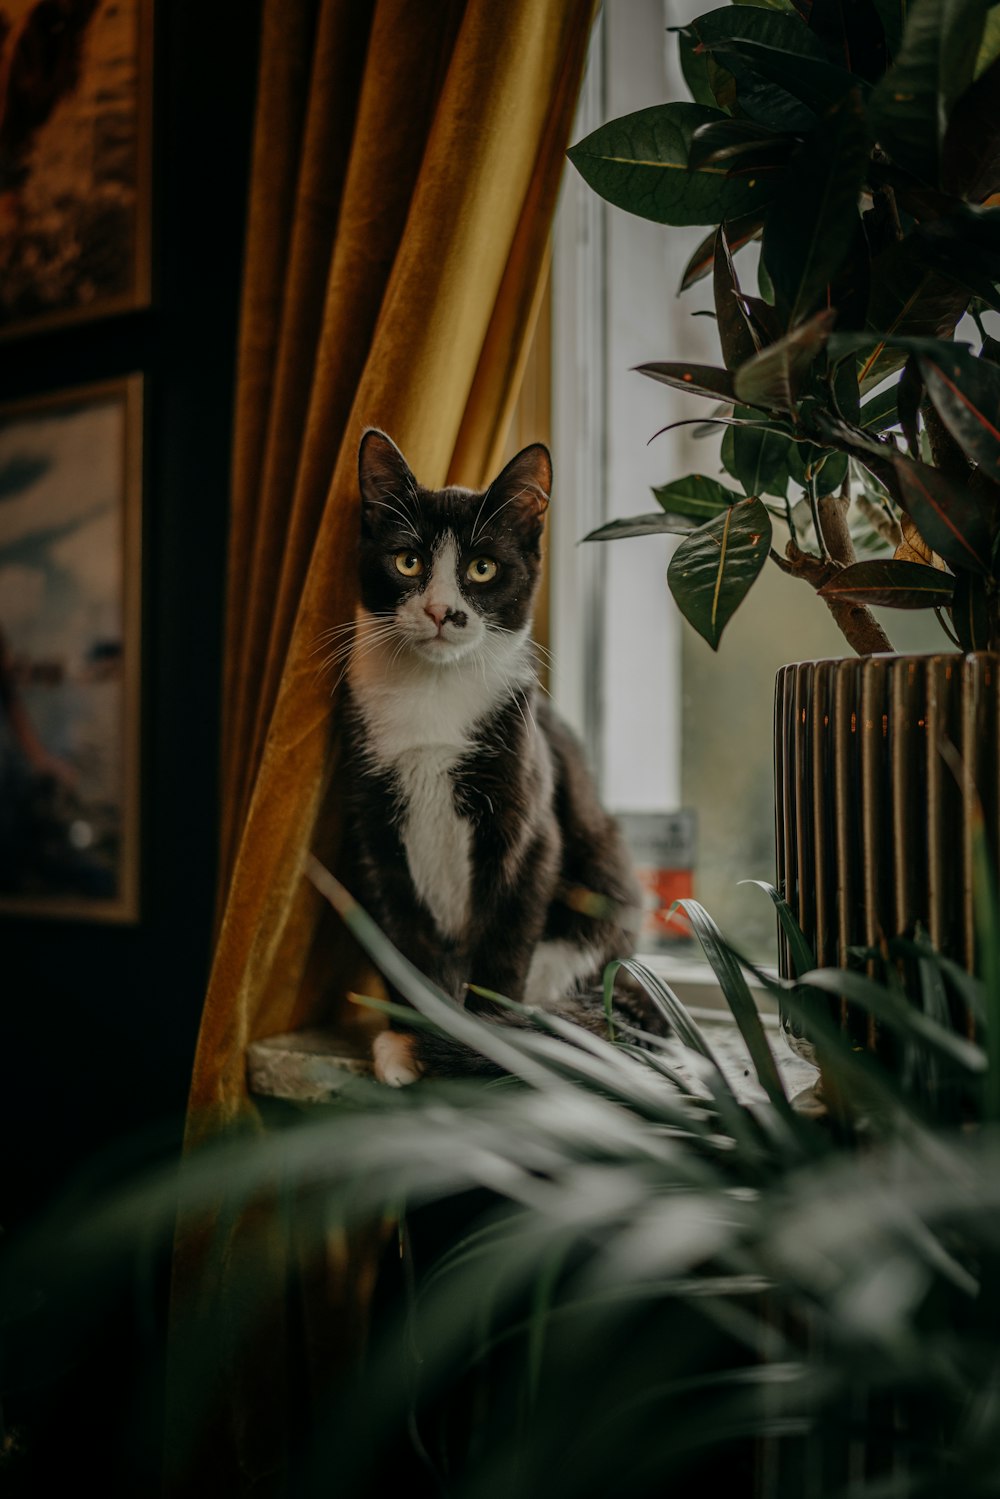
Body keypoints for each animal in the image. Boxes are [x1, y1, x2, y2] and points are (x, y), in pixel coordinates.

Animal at [340, 428, 644, 1085]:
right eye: (408, 561)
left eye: (482, 568)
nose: (440, 611)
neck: (434, 694)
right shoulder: (373, 833)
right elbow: (404, 941)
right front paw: (411, 1041)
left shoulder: (528, 829)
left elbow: (504, 943)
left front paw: (486, 1043)